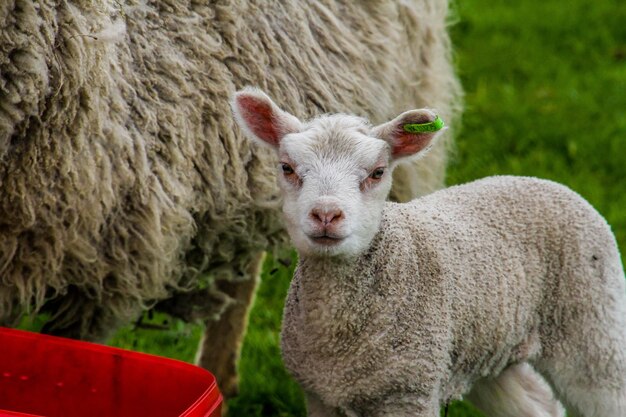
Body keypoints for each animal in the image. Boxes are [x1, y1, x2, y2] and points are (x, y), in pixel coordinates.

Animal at [233, 88, 624, 416]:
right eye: (287, 167)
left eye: (377, 172)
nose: (326, 214)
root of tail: (541, 181)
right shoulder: (319, 395)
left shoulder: (408, 392)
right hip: (491, 347)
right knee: (536, 403)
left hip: (593, 328)